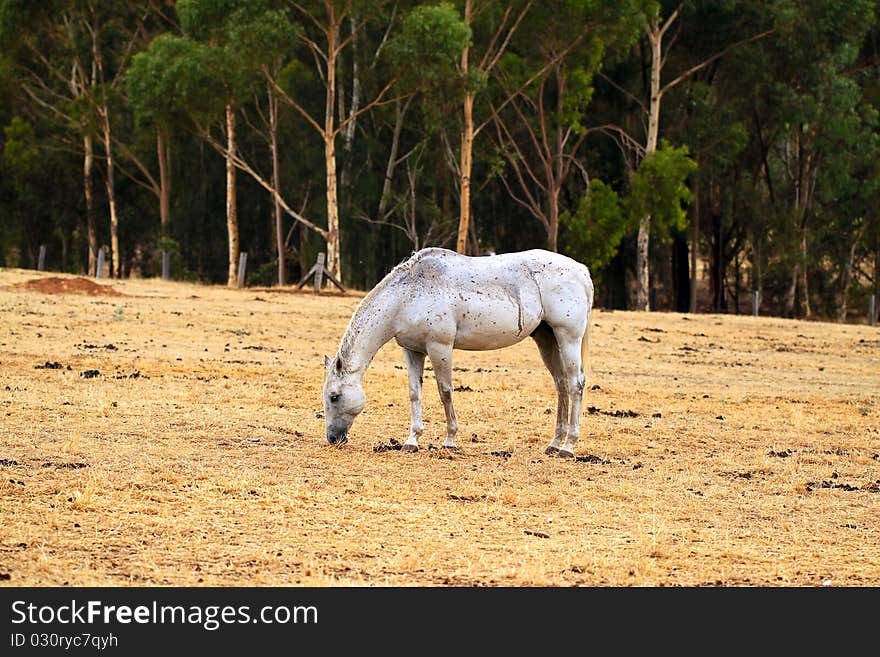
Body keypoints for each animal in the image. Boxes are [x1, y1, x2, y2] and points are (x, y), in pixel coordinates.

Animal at [326, 246, 596, 456]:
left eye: (334, 396)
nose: (332, 438)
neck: (408, 295)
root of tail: (581, 271)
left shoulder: (440, 347)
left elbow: (445, 392)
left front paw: (450, 441)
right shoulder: (412, 351)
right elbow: (414, 394)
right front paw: (412, 441)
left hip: (568, 338)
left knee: (575, 384)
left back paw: (568, 446)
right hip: (547, 339)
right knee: (561, 384)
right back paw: (555, 443)